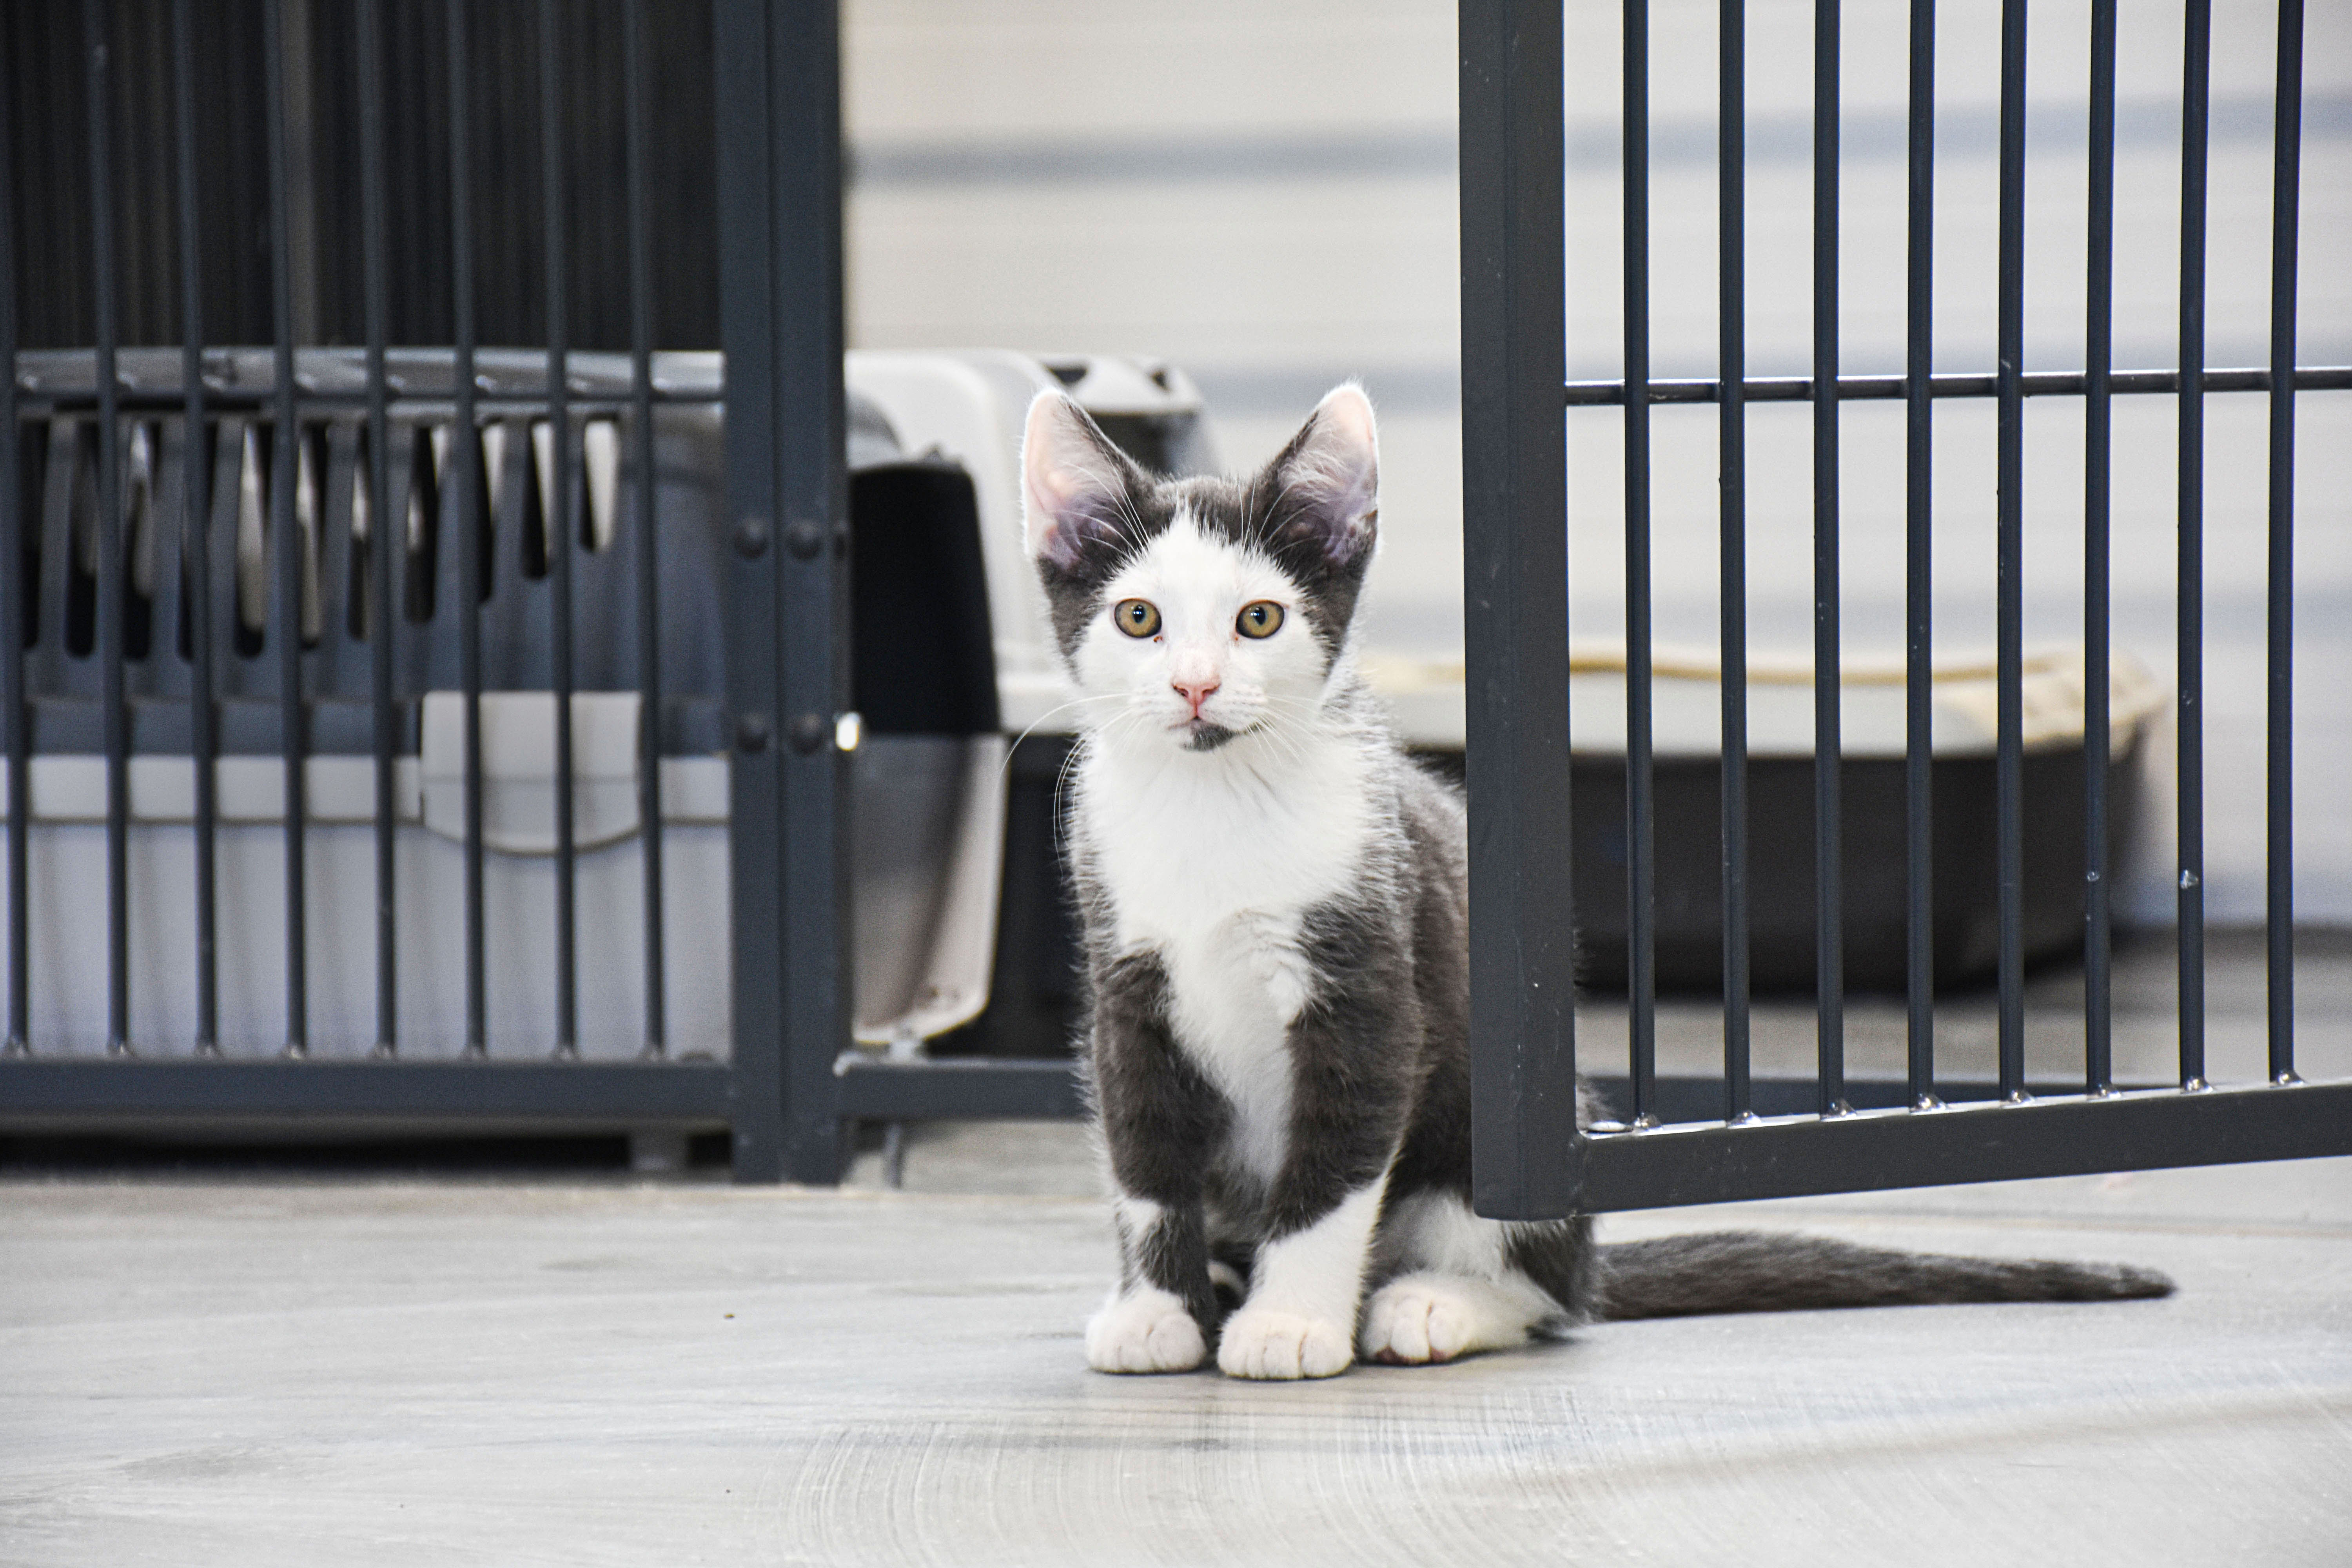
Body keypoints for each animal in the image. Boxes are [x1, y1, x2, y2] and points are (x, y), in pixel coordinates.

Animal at [1021, 385, 2173, 1382]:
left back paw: (1427, 1303)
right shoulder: (1125, 987)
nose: (1195, 686)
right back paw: (1225, 1286)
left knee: (1547, 1294)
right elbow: (1143, 1163)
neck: (1213, 807)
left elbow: (1333, 1174)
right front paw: (1159, 1313)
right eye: (1138, 620)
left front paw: (1293, 1322)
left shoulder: (1371, 991)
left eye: (1259, 621)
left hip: (1503, 1133)